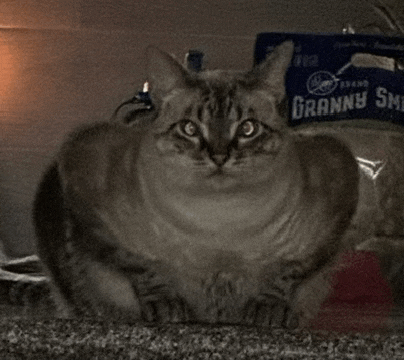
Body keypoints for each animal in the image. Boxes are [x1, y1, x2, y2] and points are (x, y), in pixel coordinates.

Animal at [32, 41, 360, 326]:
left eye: (247, 129)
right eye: (189, 129)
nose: (219, 156)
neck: (219, 224)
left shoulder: (338, 186)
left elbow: (286, 274)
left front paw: (268, 311)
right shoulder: (85, 178)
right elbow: (141, 266)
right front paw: (166, 306)